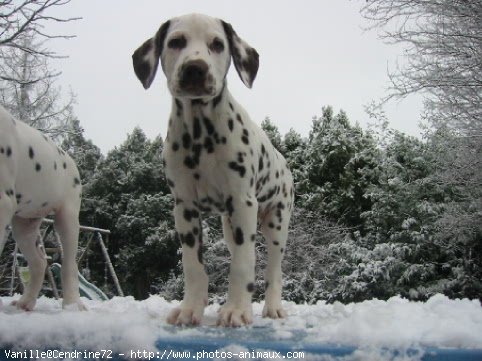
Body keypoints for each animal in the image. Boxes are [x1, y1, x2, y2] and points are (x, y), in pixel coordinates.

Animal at [0, 103, 84, 310]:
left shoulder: (2, 202)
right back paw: (26, 302)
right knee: (38, 262)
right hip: (24, 226)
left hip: (67, 219)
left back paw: (72, 304)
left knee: (70, 265)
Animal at [132, 13, 294, 326]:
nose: (195, 68)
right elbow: (193, 265)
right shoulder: (184, 208)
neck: (200, 135)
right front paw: (190, 309)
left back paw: (272, 307)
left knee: (273, 270)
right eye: (176, 42)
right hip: (231, 228)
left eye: (218, 44)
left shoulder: (243, 203)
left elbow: (242, 265)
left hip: (276, 223)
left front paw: (237, 310)